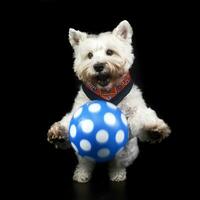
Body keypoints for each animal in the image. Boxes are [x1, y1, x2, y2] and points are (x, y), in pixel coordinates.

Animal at [47, 20, 170, 183]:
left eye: (110, 52)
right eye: (90, 55)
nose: (98, 66)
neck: (107, 93)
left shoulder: (135, 108)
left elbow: (143, 117)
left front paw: (153, 129)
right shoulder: (78, 108)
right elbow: (68, 120)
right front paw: (59, 132)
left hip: (128, 151)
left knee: (118, 162)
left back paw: (117, 173)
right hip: (83, 155)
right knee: (86, 162)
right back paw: (82, 174)